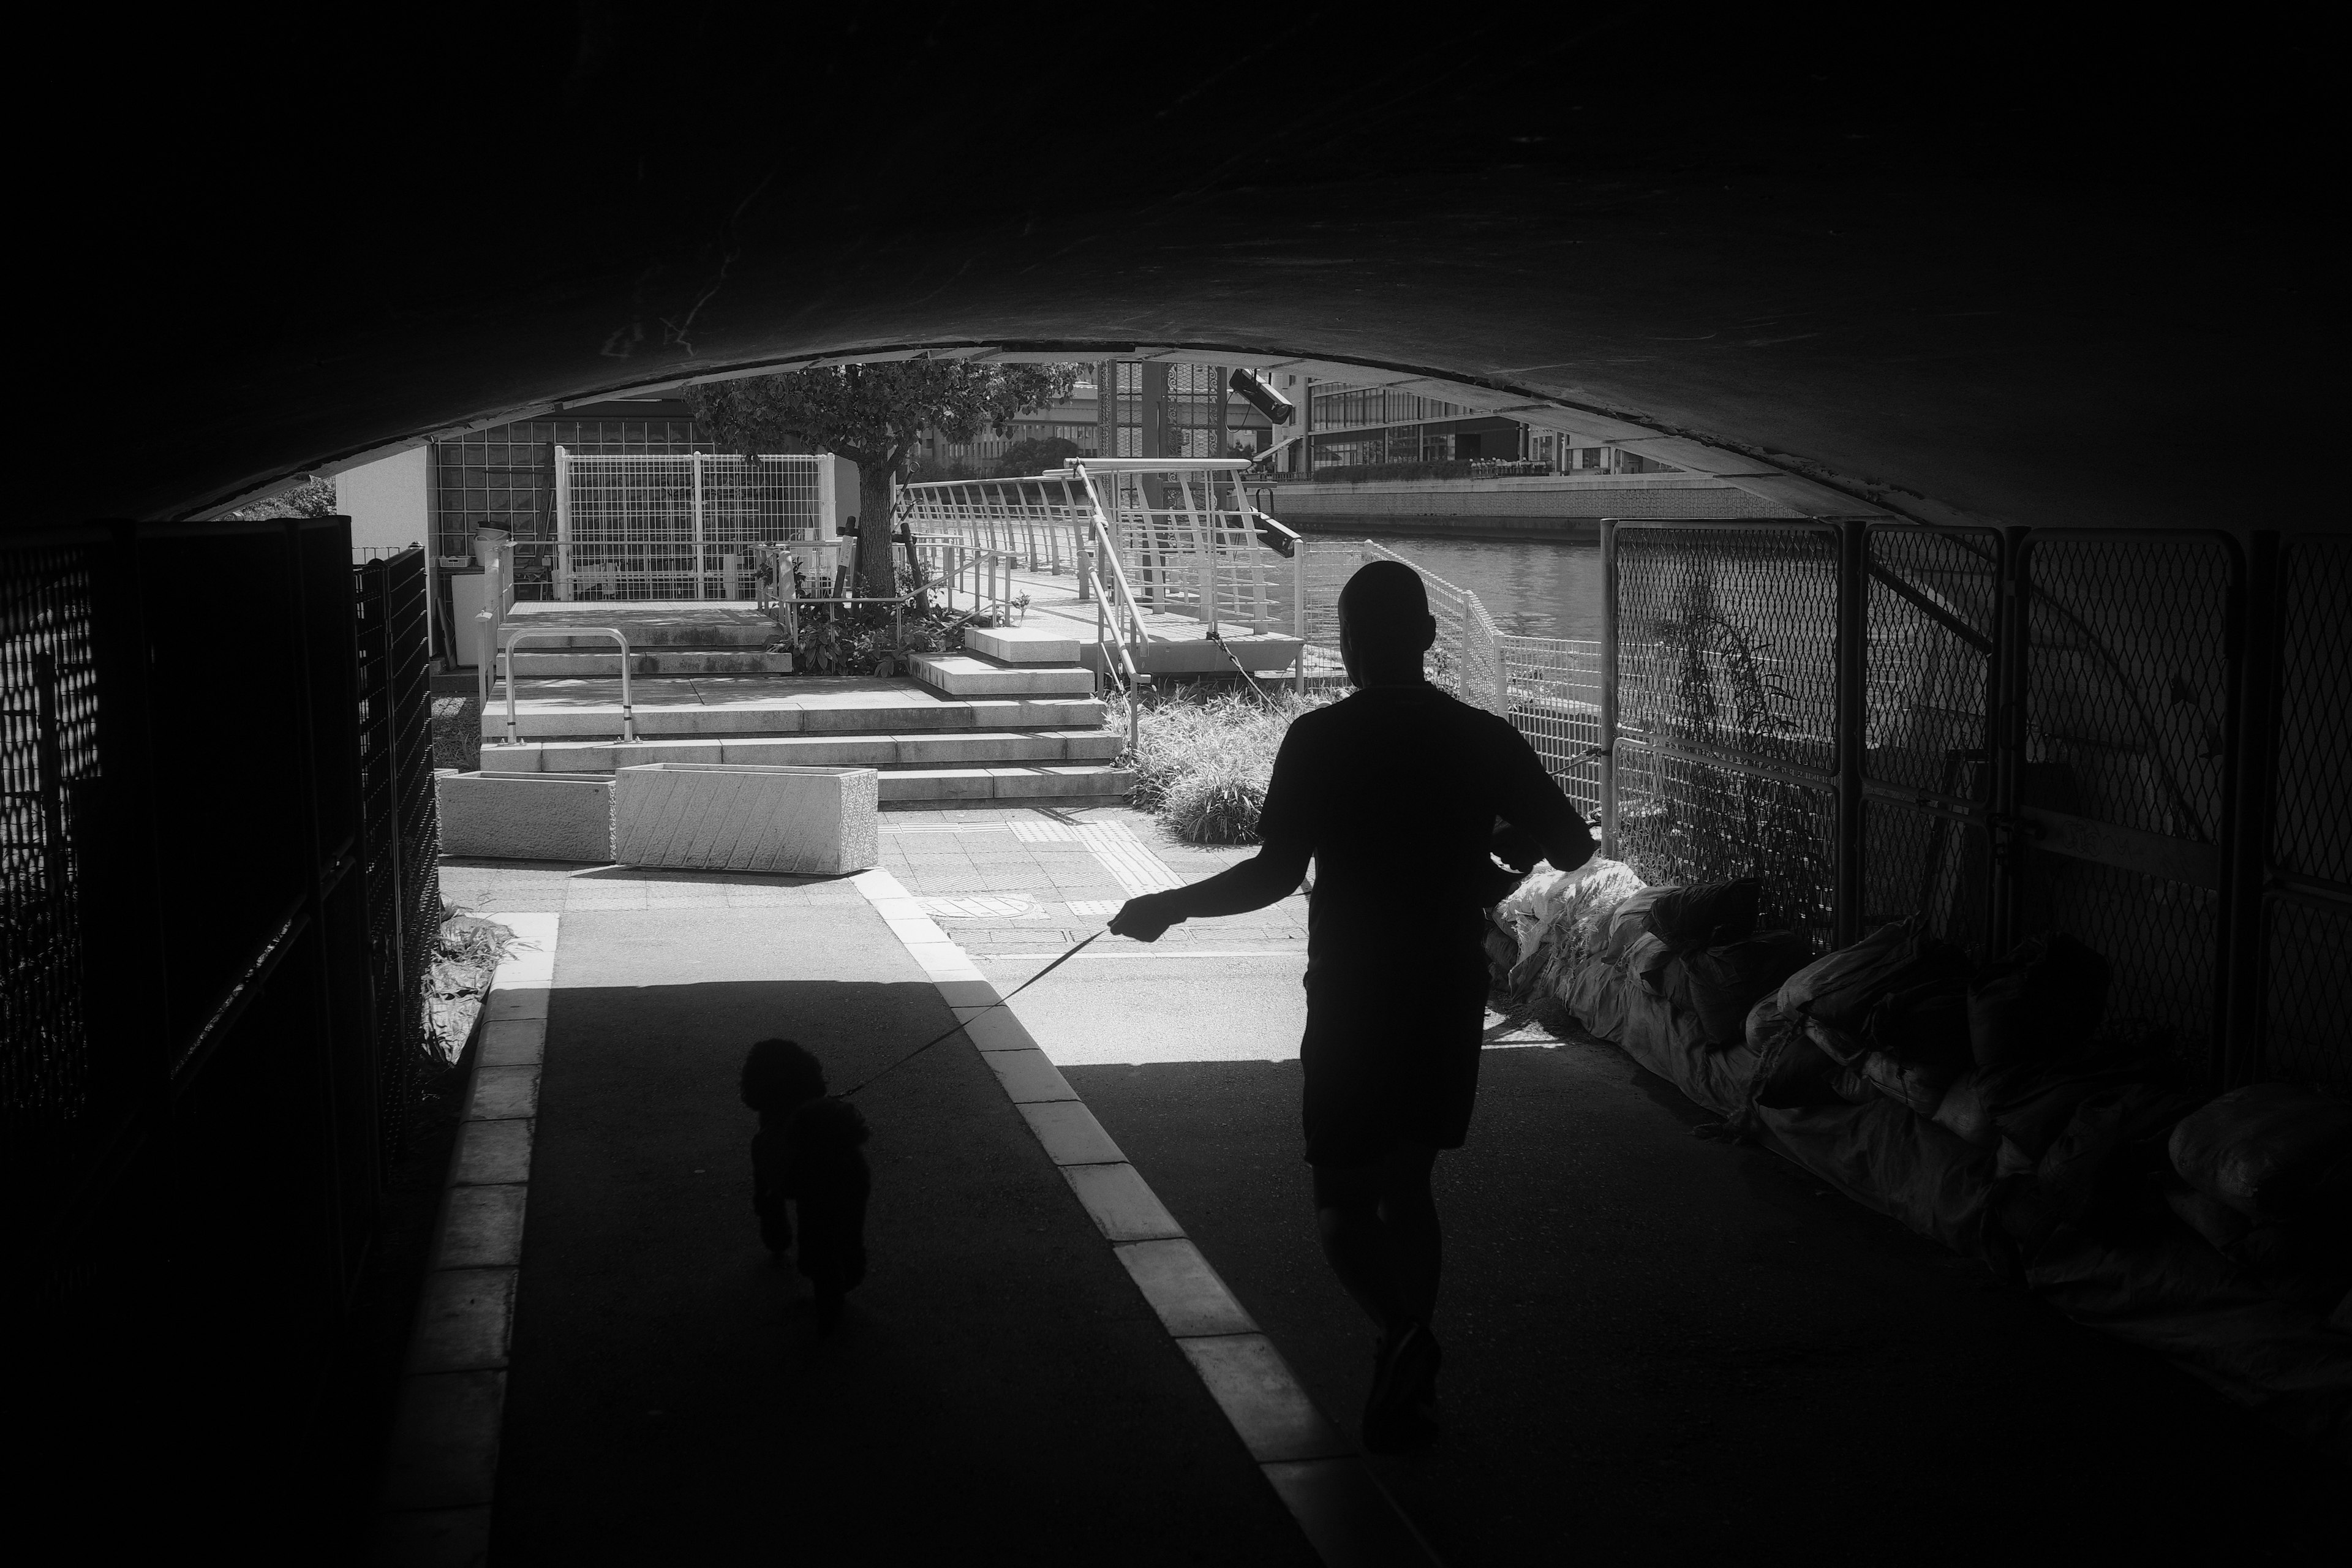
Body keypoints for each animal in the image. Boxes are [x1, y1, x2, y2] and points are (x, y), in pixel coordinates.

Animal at [738, 1034, 870, 1335]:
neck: (785, 1101)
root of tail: (836, 1147)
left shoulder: (766, 1183)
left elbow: (771, 1218)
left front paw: (777, 1244)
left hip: (817, 1213)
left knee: (822, 1265)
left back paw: (829, 1315)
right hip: (852, 1211)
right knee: (852, 1253)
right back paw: (849, 1283)